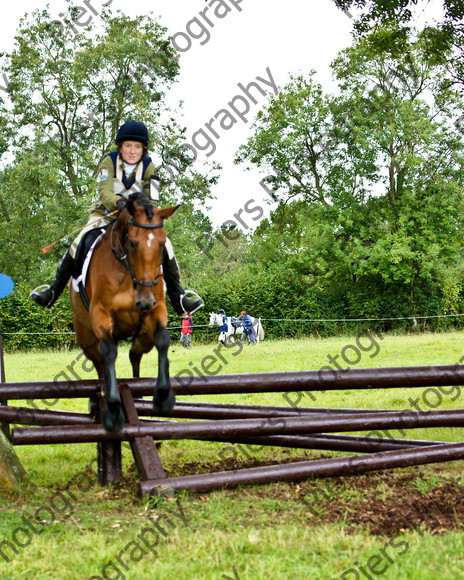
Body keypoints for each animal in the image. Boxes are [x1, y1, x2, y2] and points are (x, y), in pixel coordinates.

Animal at [70, 193, 179, 432]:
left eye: (161, 244)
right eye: (132, 243)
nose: (145, 300)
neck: (127, 270)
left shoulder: (157, 309)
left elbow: (163, 340)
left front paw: (163, 397)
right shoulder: (101, 315)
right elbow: (109, 352)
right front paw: (113, 409)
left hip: (143, 334)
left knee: (135, 353)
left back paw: (137, 395)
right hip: (87, 340)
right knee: (101, 364)